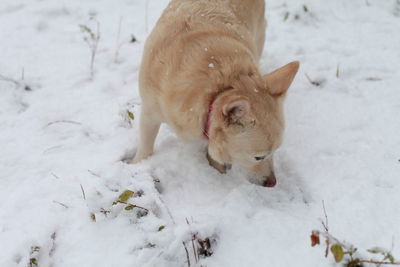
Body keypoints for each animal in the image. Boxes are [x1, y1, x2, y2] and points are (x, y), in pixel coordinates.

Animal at [133, 0, 298, 188]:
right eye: (258, 157)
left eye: (276, 150)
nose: (272, 183)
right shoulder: (149, 113)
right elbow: (145, 146)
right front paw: (137, 165)